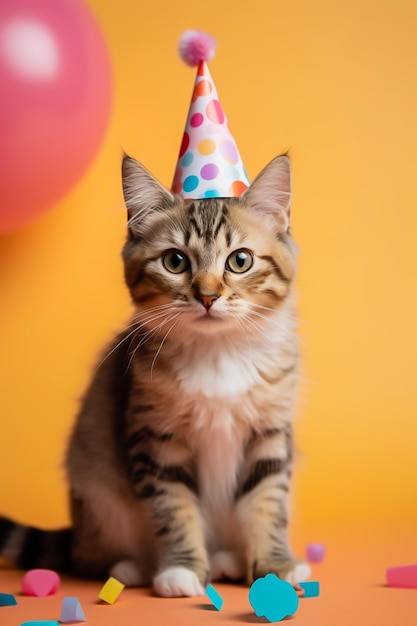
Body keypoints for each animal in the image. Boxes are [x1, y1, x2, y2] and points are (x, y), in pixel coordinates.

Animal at [0, 152, 308, 596]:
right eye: (175, 261)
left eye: (240, 260)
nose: (208, 296)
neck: (218, 353)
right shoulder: (157, 439)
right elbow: (174, 508)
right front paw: (182, 570)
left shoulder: (268, 434)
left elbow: (268, 503)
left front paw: (277, 567)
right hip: (98, 494)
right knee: (89, 557)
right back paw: (132, 568)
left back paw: (228, 560)